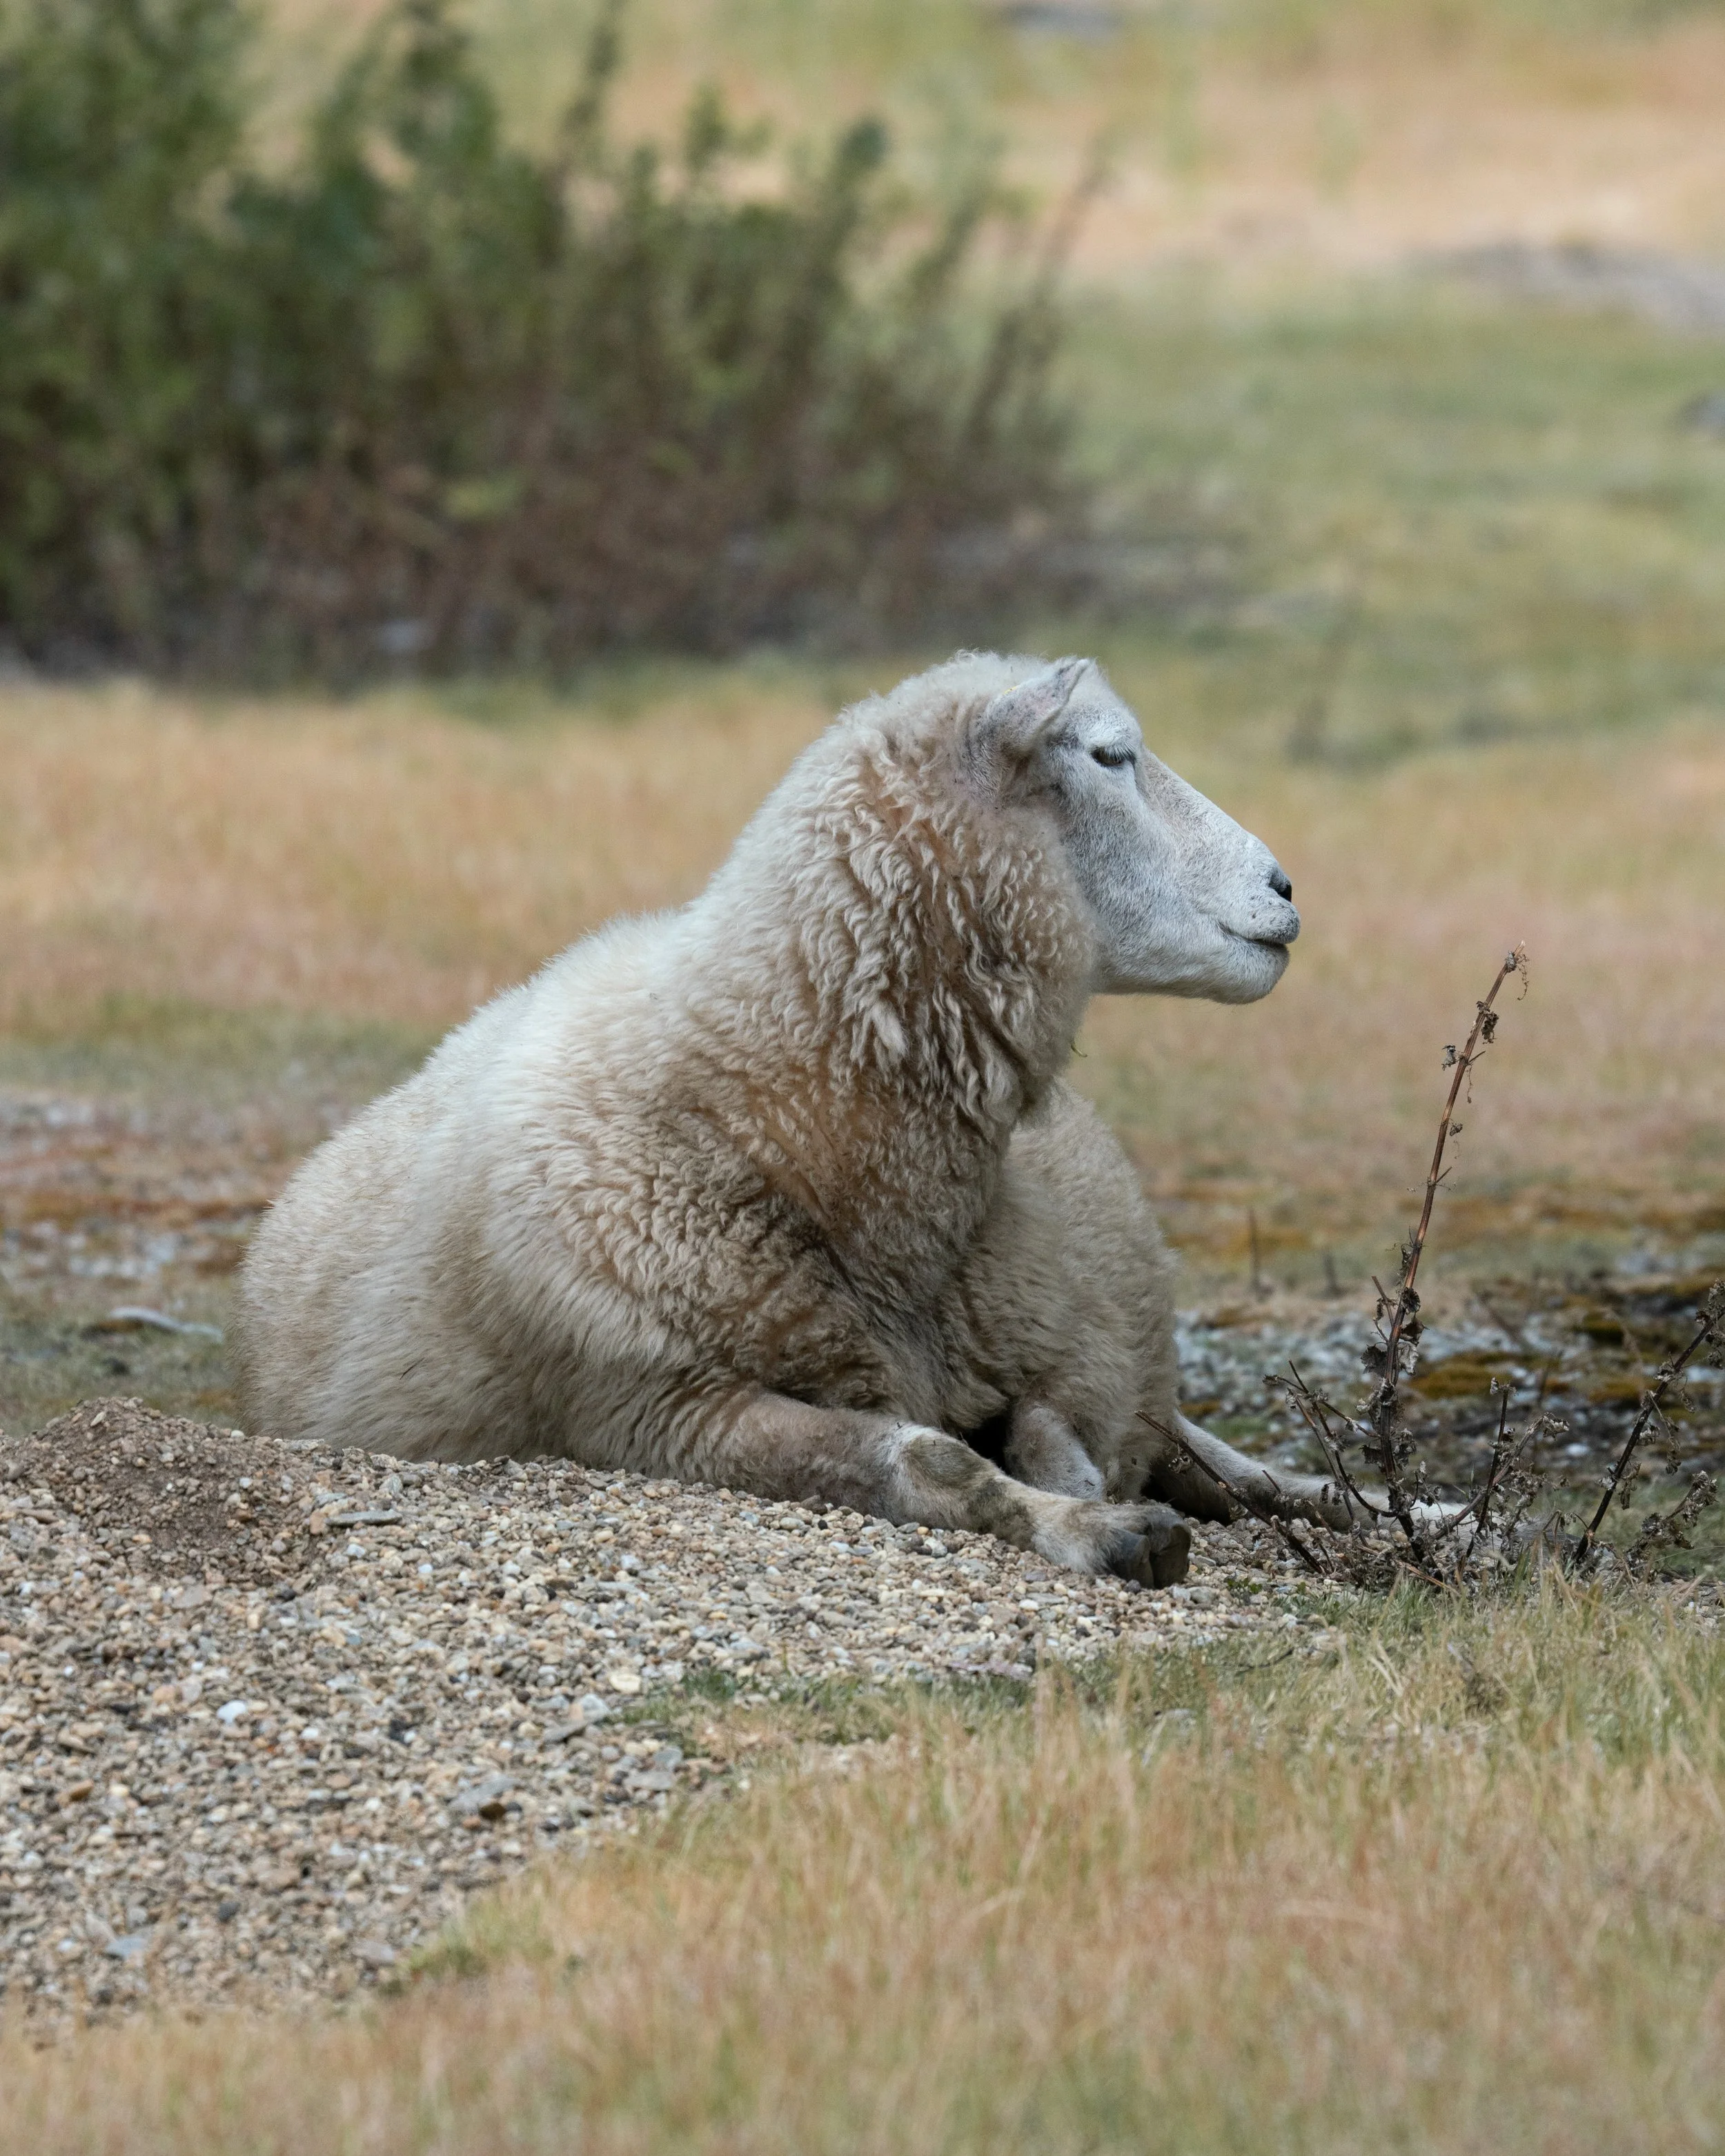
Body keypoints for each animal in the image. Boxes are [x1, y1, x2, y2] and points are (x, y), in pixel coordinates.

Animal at [238, 651, 1352, 1587]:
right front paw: (1098, 1528)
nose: (1286, 887)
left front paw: (1087, 1493)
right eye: (1110, 755)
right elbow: (934, 1459)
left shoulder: (1055, 1337)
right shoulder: (658, 1408)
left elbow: (1058, 1431)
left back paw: (1360, 1502)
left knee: (1220, 1455)